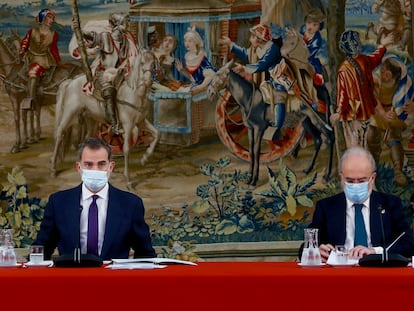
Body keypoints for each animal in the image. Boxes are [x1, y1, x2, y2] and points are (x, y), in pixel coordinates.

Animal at [49, 47, 158, 186]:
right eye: (142, 63)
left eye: (153, 63)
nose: (149, 81)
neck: (134, 94)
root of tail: (70, 81)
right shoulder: (128, 126)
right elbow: (126, 149)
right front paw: (128, 180)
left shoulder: (141, 122)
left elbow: (157, 134)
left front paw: (145, 158)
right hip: (69, 112)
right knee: (59, 133)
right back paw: (53, 169)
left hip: (90, 119)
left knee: (86, 139)